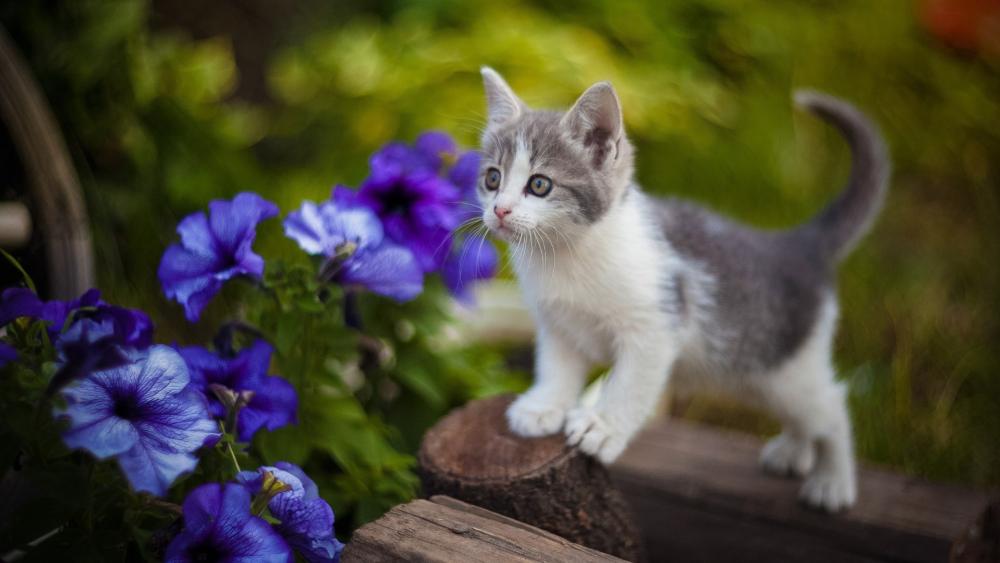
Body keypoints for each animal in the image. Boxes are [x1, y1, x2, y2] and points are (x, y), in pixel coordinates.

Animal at [476, 65, 892, 512]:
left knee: (829, 405)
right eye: (492, 178)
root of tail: (800, 244)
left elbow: (631, 382)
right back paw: (793, 452)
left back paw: (833, 482)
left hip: (784, 362)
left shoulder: (657, 326)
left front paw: (603, 426)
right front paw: (543, 406)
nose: (499, 210)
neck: (565, 256)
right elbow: (557, 366)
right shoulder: (559, 324)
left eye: (539, 185)